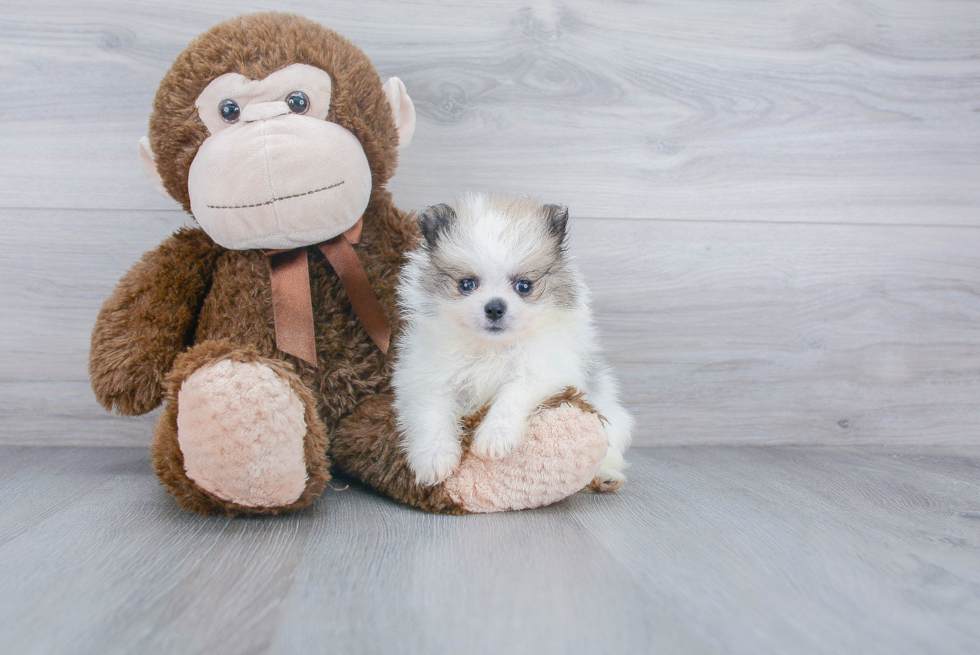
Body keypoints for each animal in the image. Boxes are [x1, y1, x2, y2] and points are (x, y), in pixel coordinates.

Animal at [392, 192, 636, 490]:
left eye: (524, 286)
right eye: (466, 284)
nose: (495, 307)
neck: (492, 348)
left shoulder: (543, 369)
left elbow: (512, 395)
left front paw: (494, 439)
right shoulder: (429, 378)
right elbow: (432, 416)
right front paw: (434, 460)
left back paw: (605, 476)